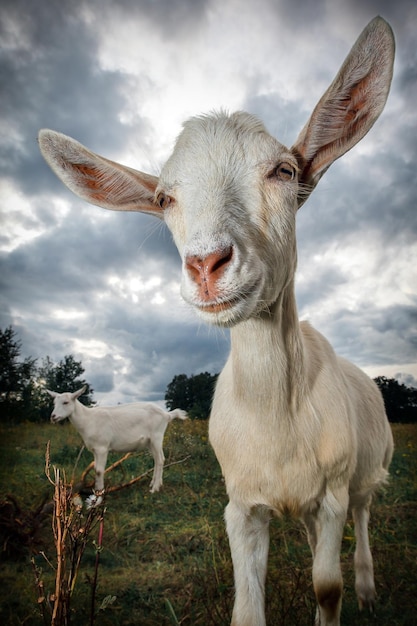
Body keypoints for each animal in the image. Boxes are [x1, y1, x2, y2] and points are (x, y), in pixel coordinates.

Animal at [47, 386, 187, 492]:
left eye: (66, 402)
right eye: (54, 403)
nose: (53, 416)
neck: (88, 420)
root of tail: (167, 414)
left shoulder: (102, 447)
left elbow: (99, 470)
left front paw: (99, 495)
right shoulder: (95, 449)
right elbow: (96, 469)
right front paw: (96, 492)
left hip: (157, 436)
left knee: (161, 459)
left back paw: (155, 488)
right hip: (150, 442)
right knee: (157, 460)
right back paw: (153, 484)